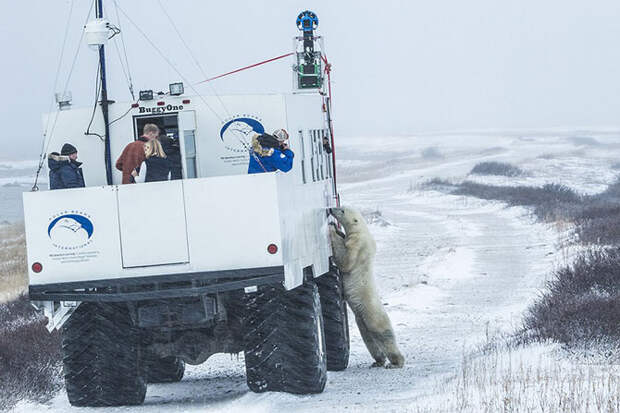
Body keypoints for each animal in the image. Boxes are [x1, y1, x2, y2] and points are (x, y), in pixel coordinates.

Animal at [326, 206, 404, 366]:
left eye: (342, 210)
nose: (330, 209)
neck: (362, 230)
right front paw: (338, 230)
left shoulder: (357, 244)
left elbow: (346, 261)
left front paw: (332, 230)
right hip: (361, 319)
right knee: (368, 337)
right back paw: (379, 361)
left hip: (372, 313)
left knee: (383, 334)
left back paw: (396, 362)